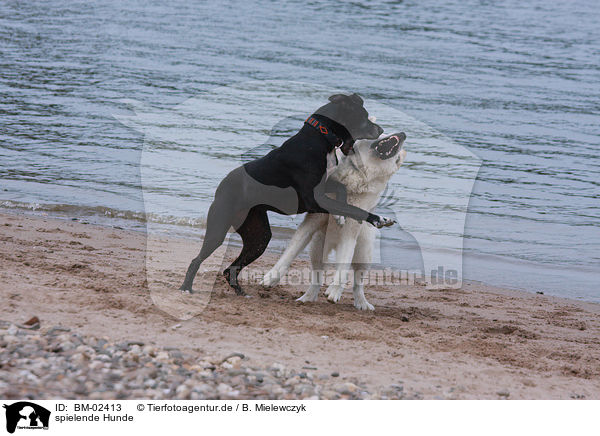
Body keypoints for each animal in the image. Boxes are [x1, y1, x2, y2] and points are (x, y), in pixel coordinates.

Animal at [260, 131, 406, 308]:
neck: (357, 174)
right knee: (317, 276)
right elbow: (289, 253)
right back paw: (307, 298)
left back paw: (362, 303)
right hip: (317, 249)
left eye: (397, 158)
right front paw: (271, 277)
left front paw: (334, 291)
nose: (403, 134)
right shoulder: (312, 221)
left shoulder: (350, 232)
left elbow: (344, 266)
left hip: (363, 254)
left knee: (357, 282)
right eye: (384, 132)